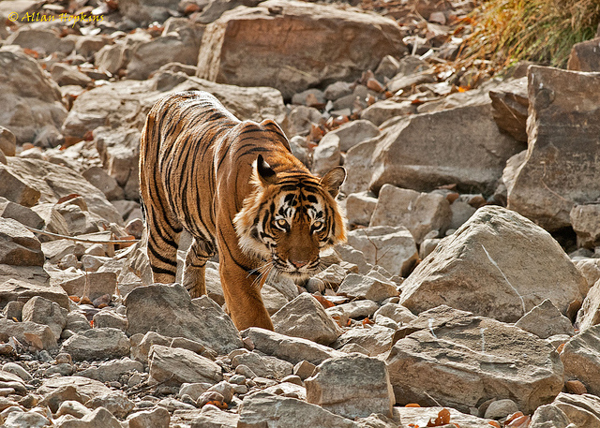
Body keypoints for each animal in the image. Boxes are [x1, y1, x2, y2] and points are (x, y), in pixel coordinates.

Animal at [139, 91, 346, 332]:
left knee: (193, 256)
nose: (299, 265)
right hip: (161, 222)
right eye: (282, 223)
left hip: (206, 230)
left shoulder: (260, 261)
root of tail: (170, 96)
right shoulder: (235, 264)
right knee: (163, 270)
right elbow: (254, 316)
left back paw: (196, 300)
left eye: (317, 225)